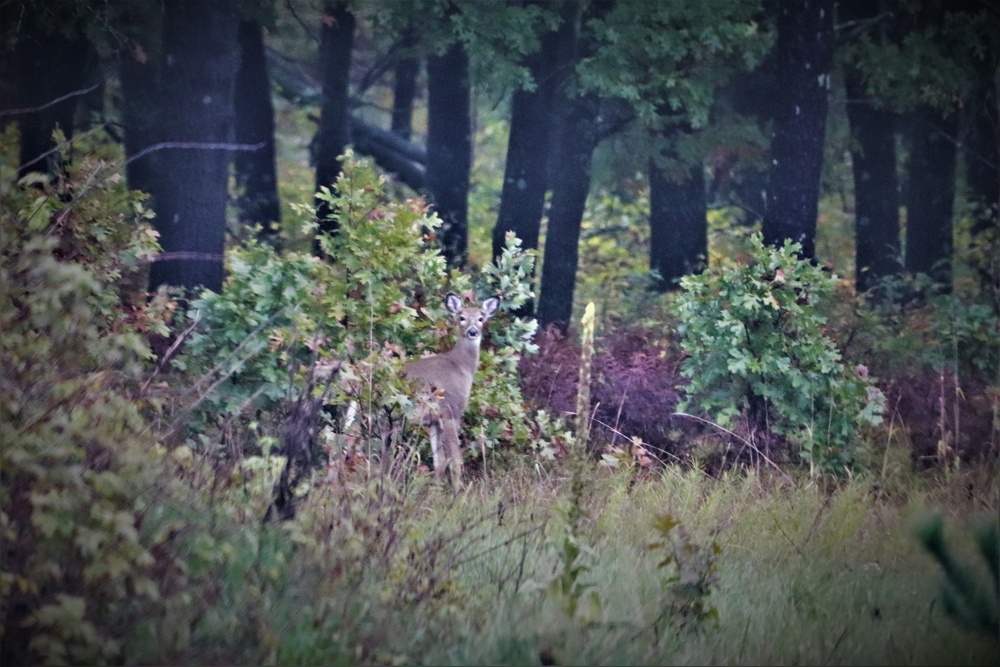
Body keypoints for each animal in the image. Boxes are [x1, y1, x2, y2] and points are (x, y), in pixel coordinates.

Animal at [404, 292, 500, 490]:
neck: (460, 366)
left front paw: (435, 491)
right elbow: (455, 461)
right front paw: (458, 493)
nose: (473, 331)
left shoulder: (433, 420)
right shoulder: (450, 411)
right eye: (461, 317)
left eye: (481, 318)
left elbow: (439, 462)